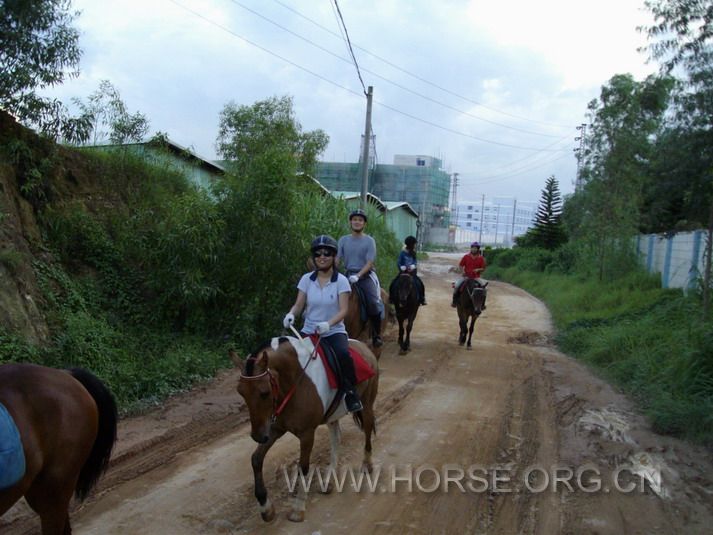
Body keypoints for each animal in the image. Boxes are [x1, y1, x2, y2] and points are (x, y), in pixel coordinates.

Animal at [232, 336, 378, 524]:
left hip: (366, 403)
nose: (257, 436)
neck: (294, 381)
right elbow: (256, 459)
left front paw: (298, 508)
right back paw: (328, 479)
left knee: (367, 428)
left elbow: (303, 467)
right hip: (332, 414)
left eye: (264, 392)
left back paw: (366, 464)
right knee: (336, 438)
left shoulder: (307, 434)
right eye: (241, 392)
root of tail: (363, 346)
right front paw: (265, 507)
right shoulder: (274, 429)